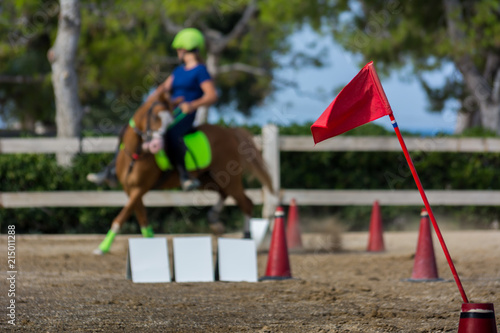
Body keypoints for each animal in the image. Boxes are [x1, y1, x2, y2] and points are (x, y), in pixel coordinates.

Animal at [94, 94, 274, 254]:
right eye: (154, 116)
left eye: (169, 121)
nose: (156, 146)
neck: (135, 154)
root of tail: (230, 132)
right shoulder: (129, 188)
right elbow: (141, 217)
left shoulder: (140, 188)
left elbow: (122, 216)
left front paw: (102, 247)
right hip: (209, 179)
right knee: (225, 194)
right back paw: (215, 221)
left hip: (229, 178)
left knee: (246, 202)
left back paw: (246, 237)